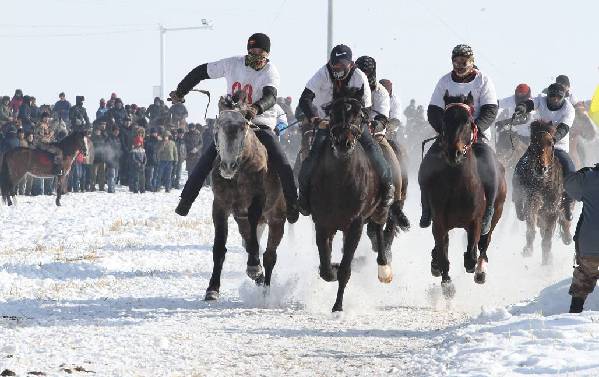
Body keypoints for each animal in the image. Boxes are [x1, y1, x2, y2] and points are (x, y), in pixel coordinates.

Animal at [205, 91, 288, 300]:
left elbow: (255, 242)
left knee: (270, 255)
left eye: (243, 126)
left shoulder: (257, 202)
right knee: (250, 241)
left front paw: (253, 268)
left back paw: (264, 287)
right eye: (218, 126)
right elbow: (220, 248)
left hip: (277, 219)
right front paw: (212, 288)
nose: (228, 166)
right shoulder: (220, 206)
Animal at [308, 86, 406, 312]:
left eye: (360, 115)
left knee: (380, 230)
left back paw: (384, 267)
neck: (340, 181)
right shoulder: (323, 223)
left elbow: (346, 268)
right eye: (332, 112)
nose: (343, 143)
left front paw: (337, 307)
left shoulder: (355, 224)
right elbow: (325, 269)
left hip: (381, 210)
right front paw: (332, 268)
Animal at [512, 120, 576, 264]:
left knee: (565, 221)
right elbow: (531, 228)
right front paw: (528, 250)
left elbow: (547, 238)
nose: (541, 168)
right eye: (533, 142)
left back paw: (567, 237)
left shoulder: (552, 210)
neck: (542, 183)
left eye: (551, 144)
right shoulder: (531, 202)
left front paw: (546, 263)